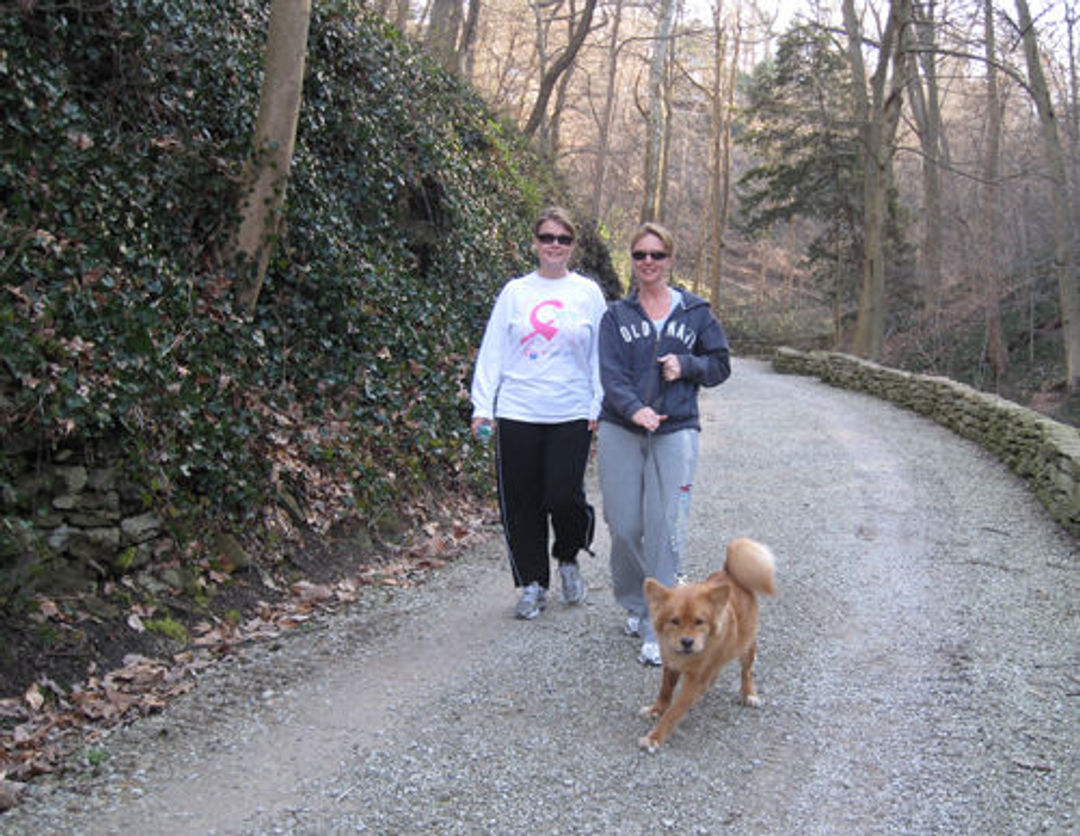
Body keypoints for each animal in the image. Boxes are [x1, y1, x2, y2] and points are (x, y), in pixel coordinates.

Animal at [635, 540, 773, 756]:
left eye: (699, 621)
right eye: (674, 621)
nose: (687, 641)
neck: (687, 657)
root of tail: (730, 573)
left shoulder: (694, 681)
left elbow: (674, 712)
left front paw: (654, 737)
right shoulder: (670, 666)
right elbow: (665, 691)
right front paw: (656, 709)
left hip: (746, 646)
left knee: (747, 671)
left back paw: (749, 694)